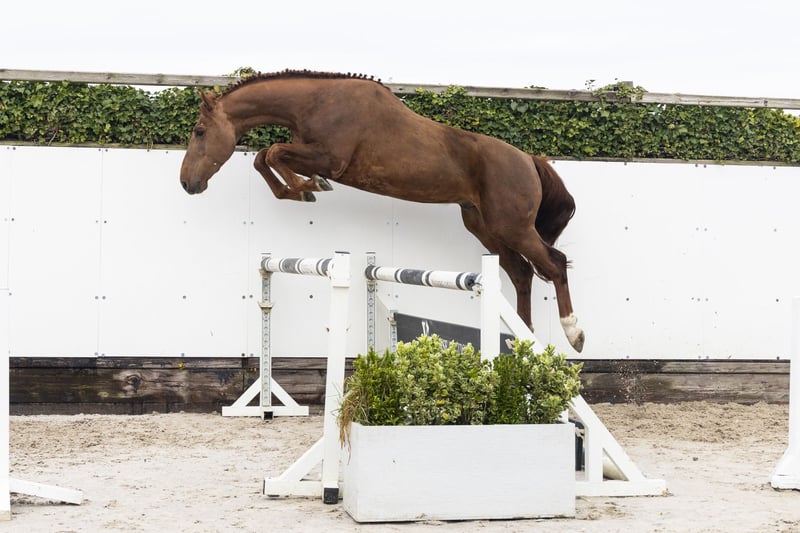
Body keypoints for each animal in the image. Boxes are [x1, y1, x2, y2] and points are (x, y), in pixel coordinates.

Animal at [179, 70, 584, 352]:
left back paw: (574, 332)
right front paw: (302, 190)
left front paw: (308, 187)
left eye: (199, 131)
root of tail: (529, 159)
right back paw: (524, 338)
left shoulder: (330, 159)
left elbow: (273, 152)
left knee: (553, 264)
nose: (187, 183)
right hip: (485, 227)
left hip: (512, 226)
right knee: (521, 274)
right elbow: (265, 156)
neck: (317, 102)